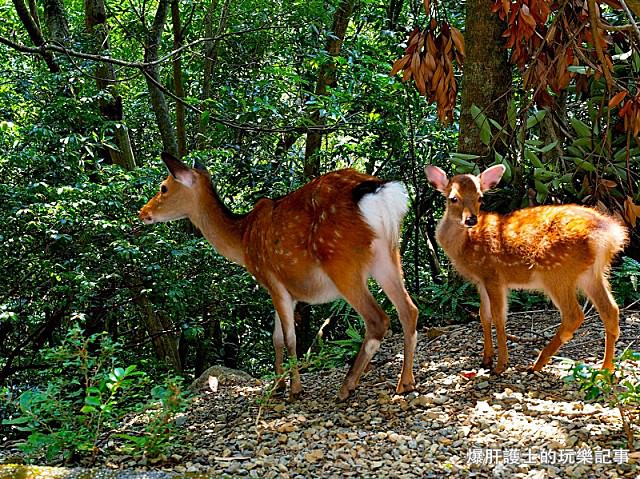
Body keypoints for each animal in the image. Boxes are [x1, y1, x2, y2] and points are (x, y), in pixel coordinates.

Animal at [139, 154, 418, 402]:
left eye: (164, 187)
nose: (142, 212)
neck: (242, 239)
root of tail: (379, 192)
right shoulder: (282, 290)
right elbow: (277, 339)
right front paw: (278, 386)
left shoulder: (272, 280)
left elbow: (290, 339)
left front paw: (294, 389)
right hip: (387, 253)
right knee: (409, 309)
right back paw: (405, 382)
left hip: (341, 261)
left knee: (377, 319)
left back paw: (346, 387)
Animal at [422, 165, 628, 376]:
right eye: (453, 198)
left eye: (480, 197)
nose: (471, 220)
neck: (465, 244)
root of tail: (607, 235)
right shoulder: (481, 280)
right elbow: (483, 315)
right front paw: (486, 360)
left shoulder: (493, 275)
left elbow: (498, 317)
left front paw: (500, 365)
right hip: (593, 274)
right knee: (611, 310)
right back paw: (606, 369)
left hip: (556, 272)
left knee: (573, 315)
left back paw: (537, 364)